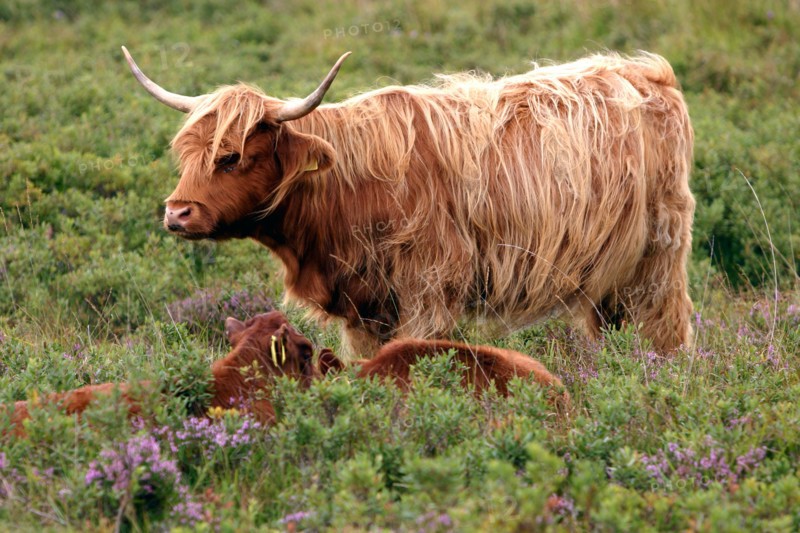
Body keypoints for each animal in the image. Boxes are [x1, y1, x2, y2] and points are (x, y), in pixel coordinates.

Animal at [122, 47, 695, 356]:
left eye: (232, 156)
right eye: (186, 153)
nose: (176, 213)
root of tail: (647, 74)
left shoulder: (429, 291)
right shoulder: (363, 308)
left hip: (657, 261)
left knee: (665, 327)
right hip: (609, 276)